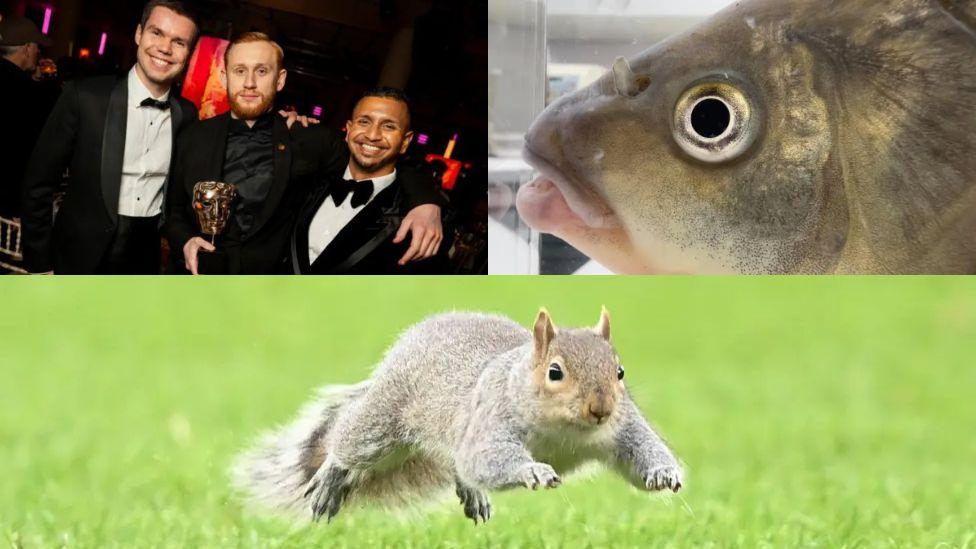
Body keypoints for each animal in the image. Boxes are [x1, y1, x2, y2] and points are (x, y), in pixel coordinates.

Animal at [232, 308, 684, 524]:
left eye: (619, 372)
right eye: (555, 372)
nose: (601, 409)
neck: (565, 432)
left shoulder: (624, 428)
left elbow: (642, 450)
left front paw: (664, 473)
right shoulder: (491, 421)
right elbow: (491, 457)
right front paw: (534, 471)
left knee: (460, 467)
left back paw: (472, 493)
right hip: (382, 424)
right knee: (350, 443)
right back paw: (331, 476)